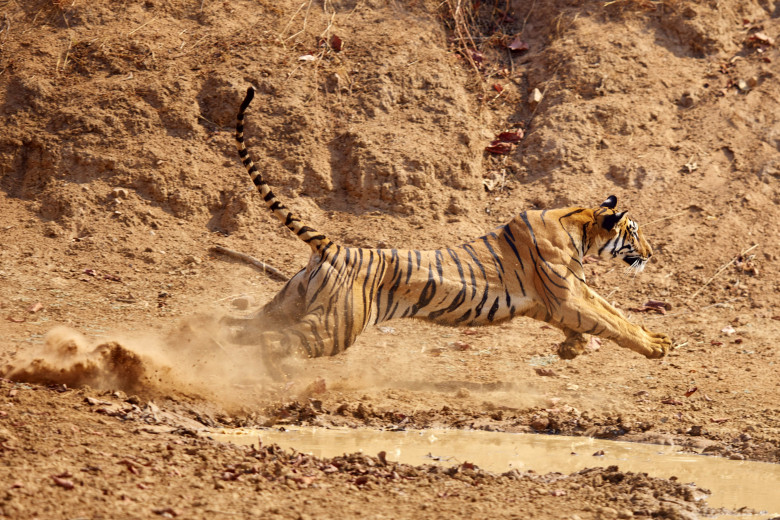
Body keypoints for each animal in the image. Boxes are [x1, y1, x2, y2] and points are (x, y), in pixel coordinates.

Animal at [224, 86, 672, 370]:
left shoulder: (568, 296)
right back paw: (271, 374)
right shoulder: (567, 295)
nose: (651, 253)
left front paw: (574, 348)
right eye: (635, 232)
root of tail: (332, 247)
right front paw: (656, 346)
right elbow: (612, 322)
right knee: (273, 342)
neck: (580, 225)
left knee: (239, 327)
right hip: (336, 326)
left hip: (288, 303)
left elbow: (610, 314)